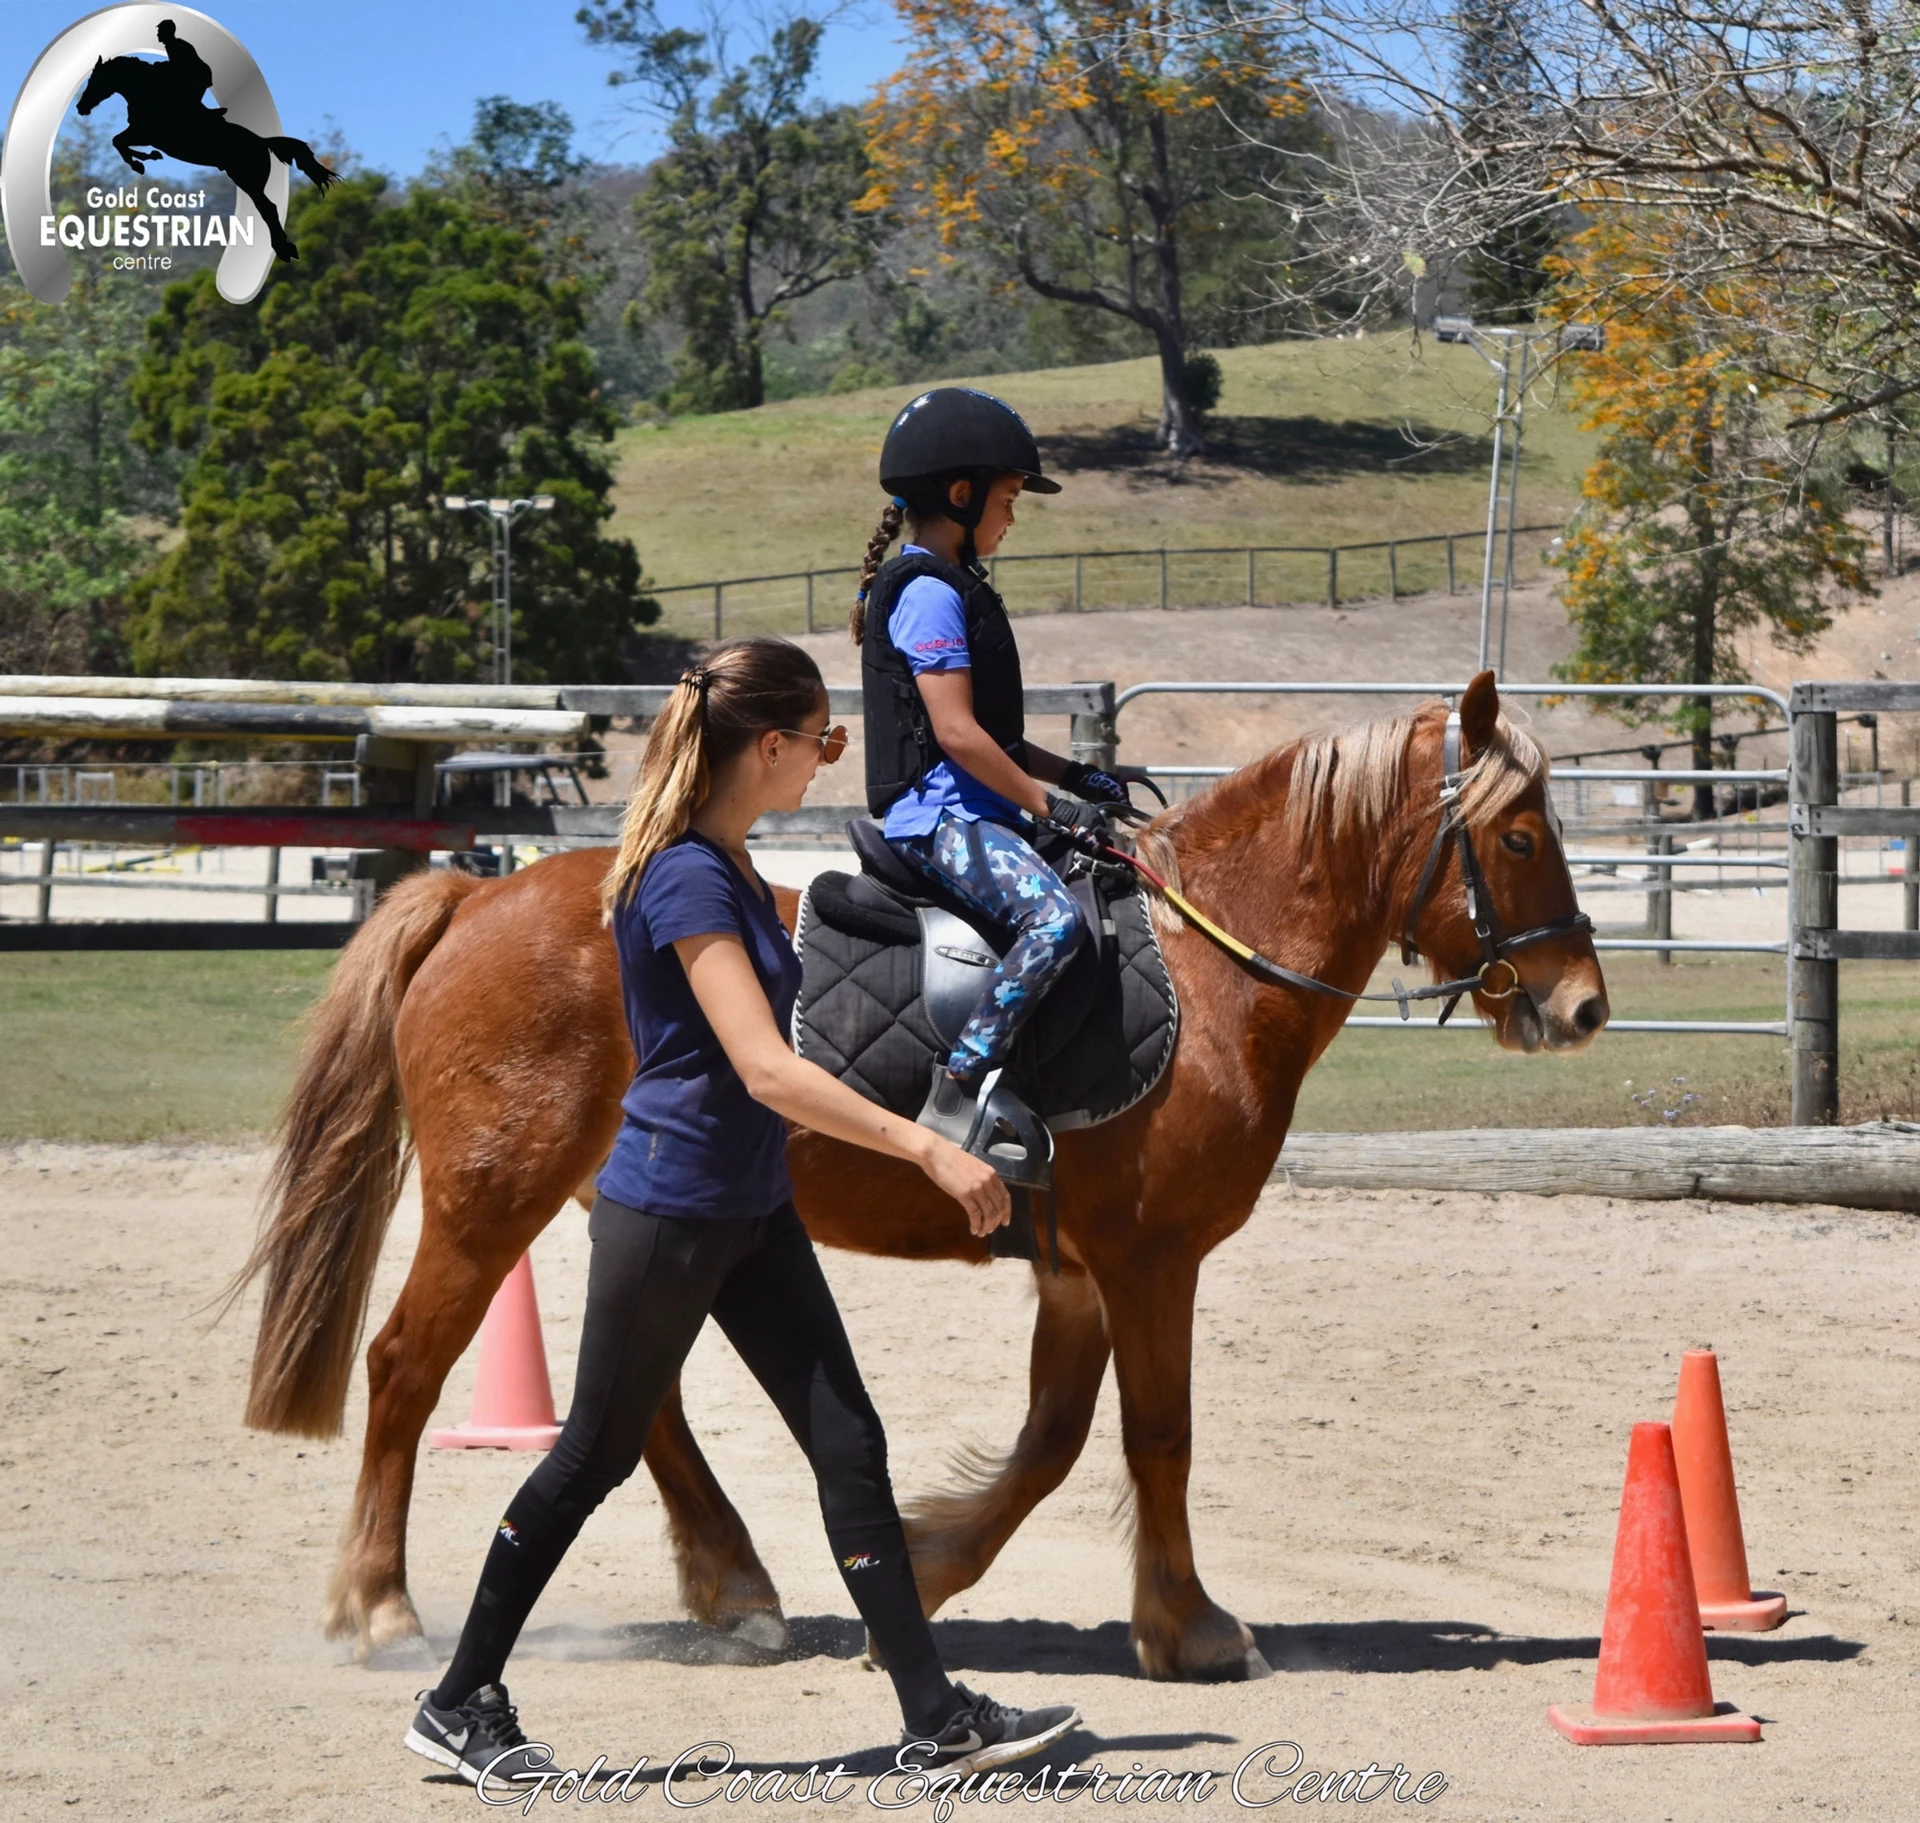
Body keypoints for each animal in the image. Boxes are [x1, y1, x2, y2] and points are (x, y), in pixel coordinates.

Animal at [76, 55, 337, 263]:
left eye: (95, 81)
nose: (81, 107)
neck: (150, 95)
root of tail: (263, 141)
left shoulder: (144, 133)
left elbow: (118, 141)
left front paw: (141, 162)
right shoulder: (141, 134)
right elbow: (119, 142)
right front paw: (146, 159)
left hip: (247, 180)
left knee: (268, 209)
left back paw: (283, 250)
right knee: (268, 209)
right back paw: (286, 249)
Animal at [233, 674, 1608, 1681]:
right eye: (1519, 832)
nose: (1584, 1005)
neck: (1210, 968)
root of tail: (471, 902)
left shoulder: (1081, 1272)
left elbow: (1054, 1441)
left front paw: (933, 1566)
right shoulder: (1150, 1258)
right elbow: (1158, 1434)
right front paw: (1193, 1629)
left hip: (633, 1202)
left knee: (641, 1398)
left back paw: (737, 1587)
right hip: (489, 1204)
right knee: (406, 1365)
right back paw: (382, 1607)